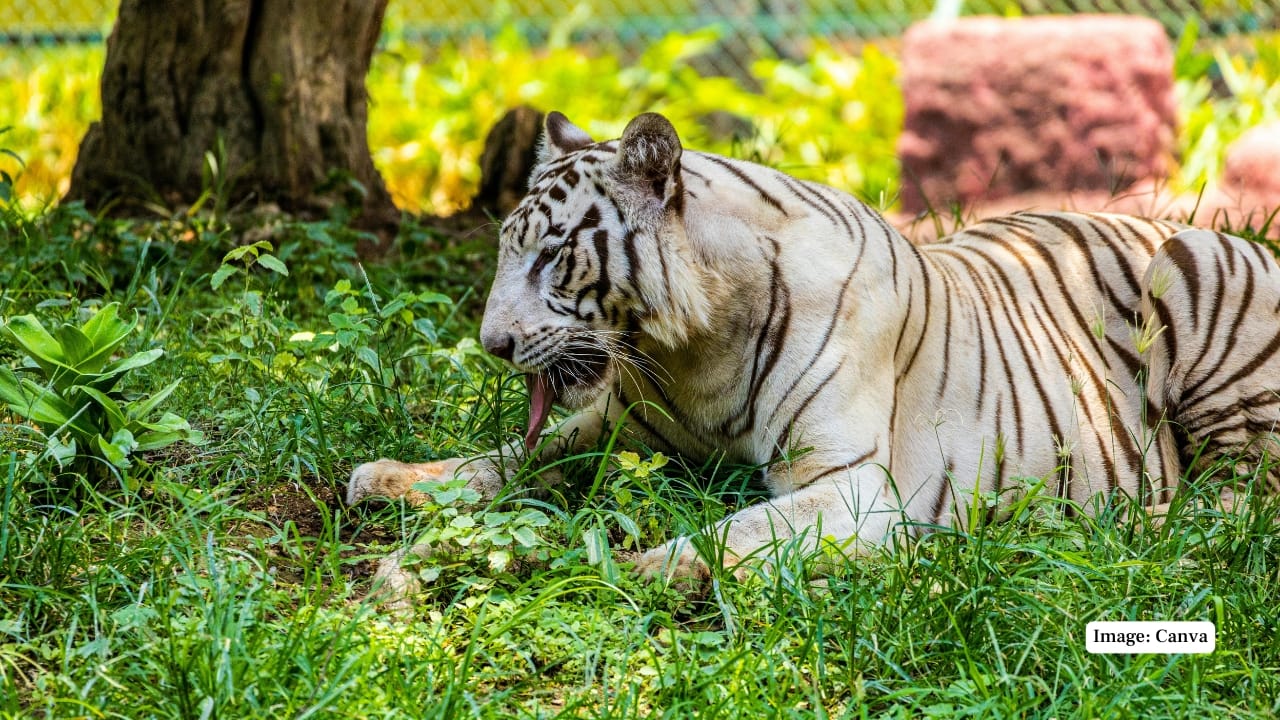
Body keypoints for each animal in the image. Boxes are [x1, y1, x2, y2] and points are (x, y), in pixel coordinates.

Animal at [348, 111, 1280, 600]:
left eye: (550, 255)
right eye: (509, 249)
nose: (493, 345)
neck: (692, 349)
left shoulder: (856, 484)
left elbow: (730, 532)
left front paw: (635, 566)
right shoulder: (622, 430)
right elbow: (509, 456)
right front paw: (392, 478)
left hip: (1192, 272)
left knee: (1236, 506)